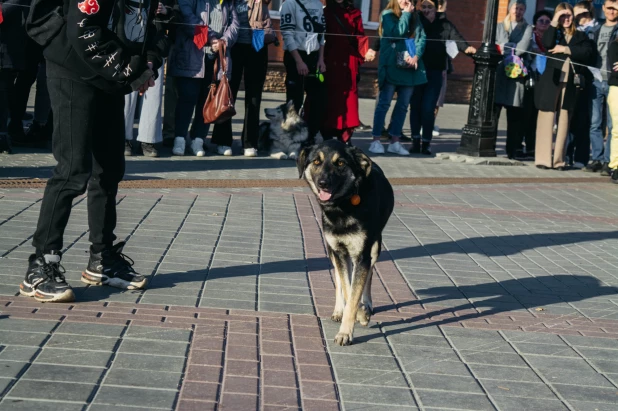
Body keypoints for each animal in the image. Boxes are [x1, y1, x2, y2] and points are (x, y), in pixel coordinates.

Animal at [298, 140, 394, 346]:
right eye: (316, 161)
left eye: (341, 163)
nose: (323, 183)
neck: (342, 206)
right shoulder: (338, 250)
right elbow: (348, 288)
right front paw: (354, 314)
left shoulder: (362, 255)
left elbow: (356, 289)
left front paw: (348, 329)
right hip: (332, 251)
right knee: (339, 278)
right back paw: (339, 310)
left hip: (375, 247)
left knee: (368, 277)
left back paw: (367, 304)